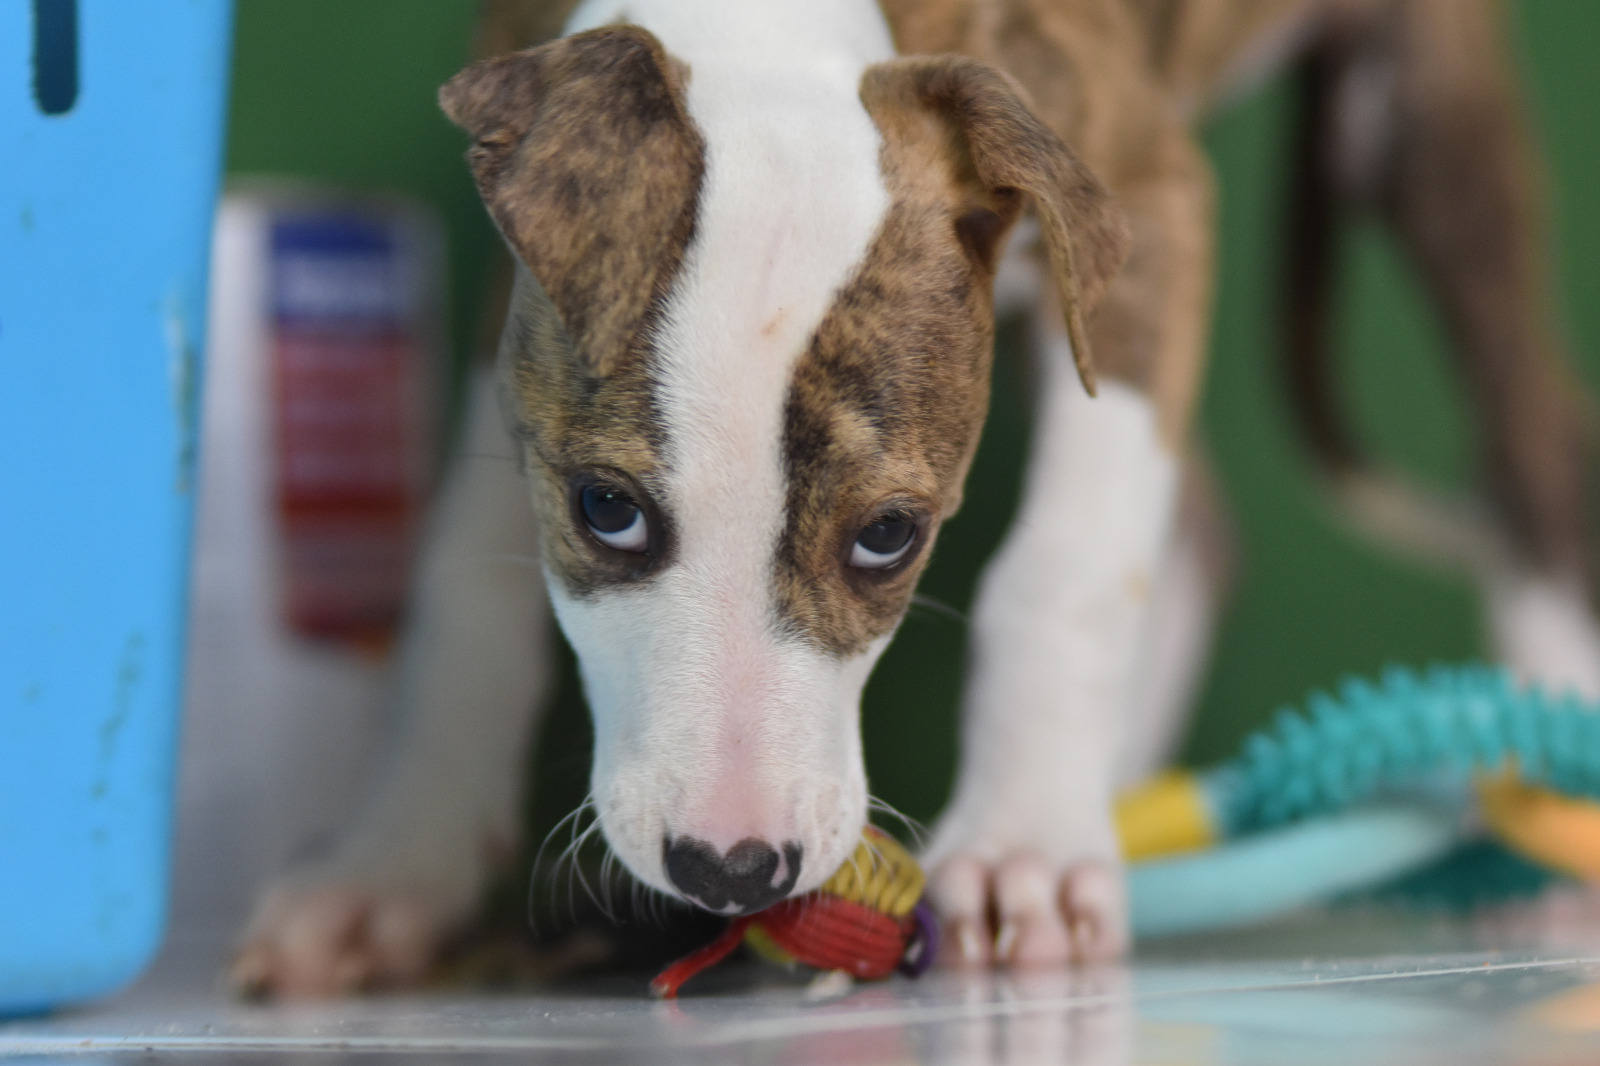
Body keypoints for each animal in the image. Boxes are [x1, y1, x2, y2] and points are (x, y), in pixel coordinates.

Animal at [233, 0, 1600, 996]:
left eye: (888, 537)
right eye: (604, 508)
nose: (732, 870)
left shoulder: (1147, 200)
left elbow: (1061, 570)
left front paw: (1026, 846)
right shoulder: (515, 318)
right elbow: (464, 585)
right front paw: (392, 867)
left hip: (1413, 124)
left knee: (1527, 451)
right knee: (1205, 525)